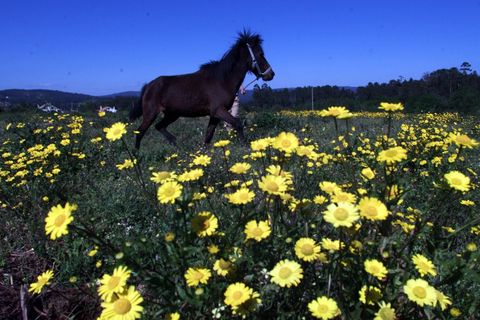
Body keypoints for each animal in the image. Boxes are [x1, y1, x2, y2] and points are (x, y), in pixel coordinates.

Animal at [129, 31, 276, 149]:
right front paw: (247, 148)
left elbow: (208, 137)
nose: (271, 74)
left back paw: (177, 146)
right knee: (139, 133)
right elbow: (237, 124)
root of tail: (149, 85)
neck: (222, 80)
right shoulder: (219, 110)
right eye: (261, 54)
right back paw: (137, 158)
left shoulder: (214, 115)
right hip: (151, 114)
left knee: (159, 127)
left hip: (172, 114)